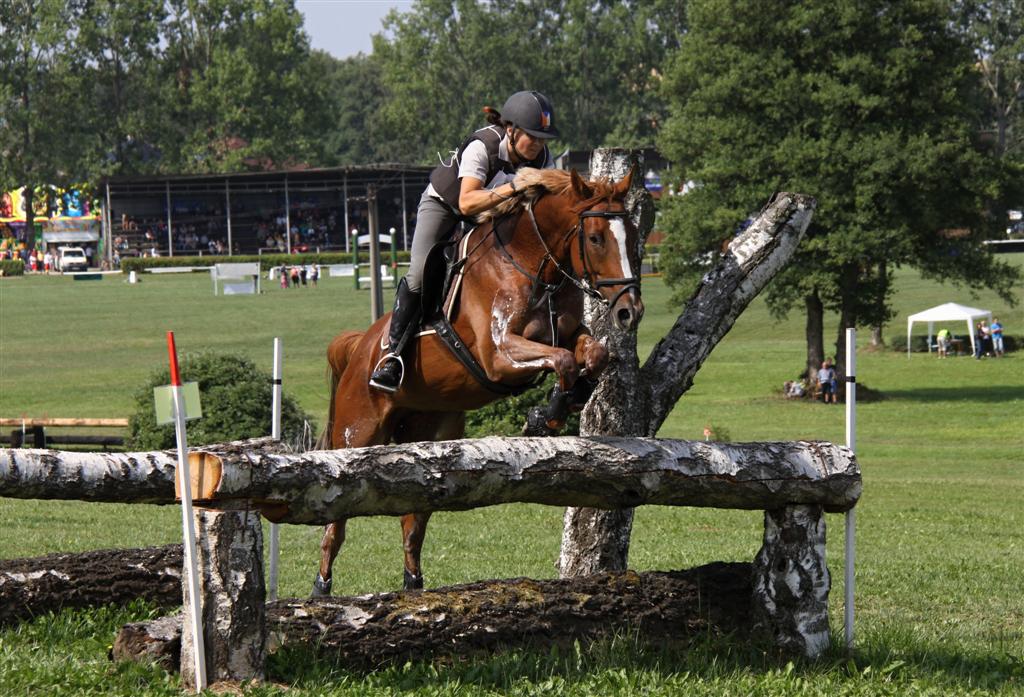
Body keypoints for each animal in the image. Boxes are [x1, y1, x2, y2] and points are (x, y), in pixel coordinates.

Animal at [315, 165, 643, 593]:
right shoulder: (498, 355)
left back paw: (413, 588)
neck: (532, 262)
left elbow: (591, 355)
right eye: (595, 238)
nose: (630, 311)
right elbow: (565, 361)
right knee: (336, 524)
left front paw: (564, 403)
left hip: (430, 436)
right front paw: (545, 417)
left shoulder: (568, 333)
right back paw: (320, 588)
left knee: (412, 522)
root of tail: (360, 348)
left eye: (635, 237)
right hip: (358, 430)